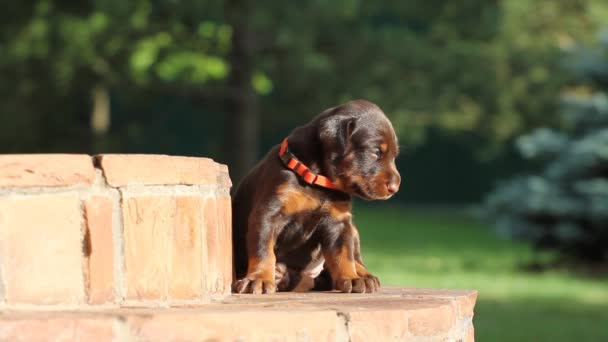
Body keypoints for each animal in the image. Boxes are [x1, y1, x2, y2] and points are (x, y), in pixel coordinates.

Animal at [232, 99, 400, 294]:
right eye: (375, 152)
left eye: (394, 156)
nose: (395, 187)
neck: (319, 180)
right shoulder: (268, 214)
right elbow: (263, 250)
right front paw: (259, 278)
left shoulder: (339, 222)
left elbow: (344, 253)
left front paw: (351, 277)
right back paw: (280, 275)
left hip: (352, 229)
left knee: (351, 258)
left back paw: (364, 276)